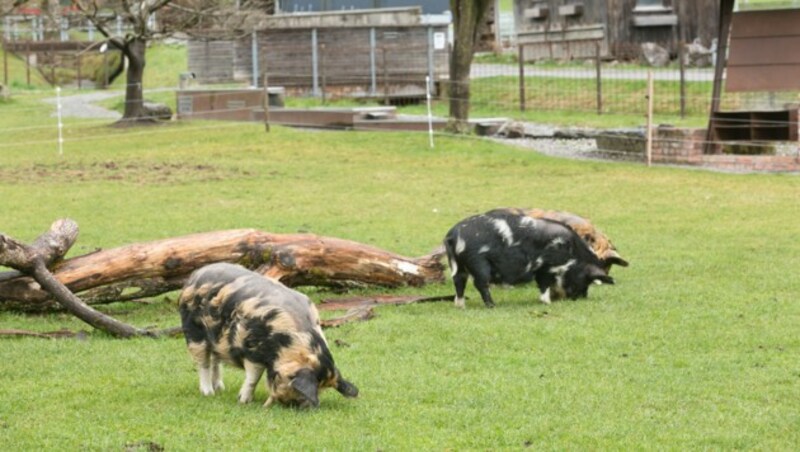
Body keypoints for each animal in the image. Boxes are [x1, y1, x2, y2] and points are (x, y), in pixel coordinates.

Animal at [181, 264, 360, 408]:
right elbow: (254, 377)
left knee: (215, 361)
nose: (301, 405)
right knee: (203, 363)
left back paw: (220, 389)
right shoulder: (252, 349)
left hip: (215, 339)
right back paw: (208, 393)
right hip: (193, 331)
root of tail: (195, 275)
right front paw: (243, 401)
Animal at [440, 207, 616, 308]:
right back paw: (492, 305)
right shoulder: (547, 267)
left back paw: (460, 305)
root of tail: (453, 235)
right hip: (478, 262)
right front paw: (547, 302)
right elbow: (544, 284)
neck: (573, 254)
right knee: (480, 284)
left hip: (459, 264)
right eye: (586, 280)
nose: (582, 298)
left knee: (459, 281)